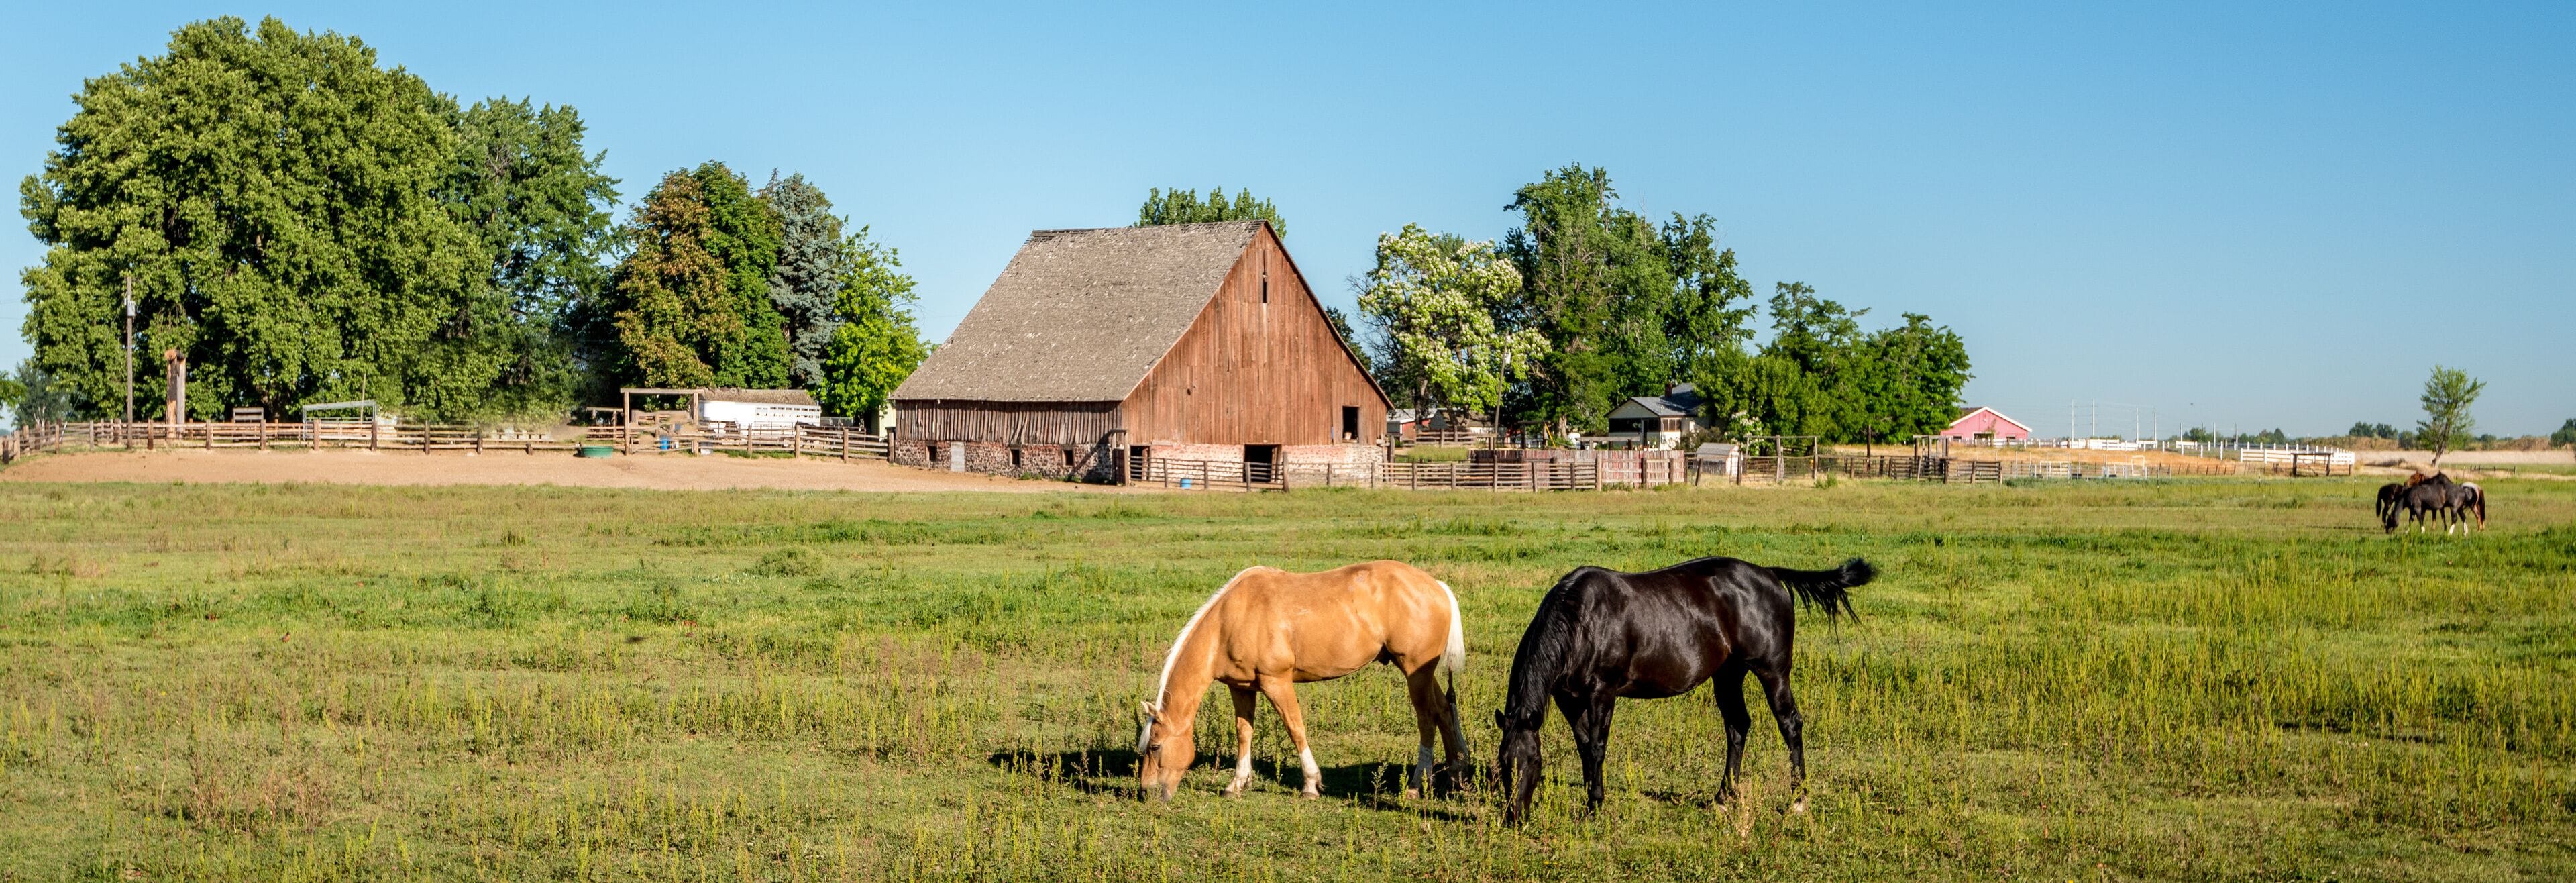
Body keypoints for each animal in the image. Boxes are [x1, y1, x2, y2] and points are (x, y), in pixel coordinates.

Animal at [1135, 561, 1468, 802]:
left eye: (1155, 746)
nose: (1146, 792)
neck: (1229, 621)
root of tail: (1437, 587)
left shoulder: (1277, 683)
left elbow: (1295, 729)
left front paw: (1311, 783)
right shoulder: (1241, 688)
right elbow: (1244, 733)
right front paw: (1237, 783)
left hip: (1415, 673)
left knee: (1427, 719)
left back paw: (1416, 785)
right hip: (1420, 673)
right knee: (1444, 711)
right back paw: (1456, 772)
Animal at [1494, 556, 1874, 825]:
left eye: (1534, 762)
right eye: (1503, 764)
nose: (1515, 819)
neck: (1582, 619)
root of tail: (1770, 574)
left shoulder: (1602, 693)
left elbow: (1598, 747)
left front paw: (1594, 807)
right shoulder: (1568, 699)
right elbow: (1585, 747)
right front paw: (1592, 800)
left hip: (1773, 673)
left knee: (1790, 724)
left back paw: (1798, 800)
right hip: (1728, 674)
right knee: (1738, 726)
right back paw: (1724, 798)